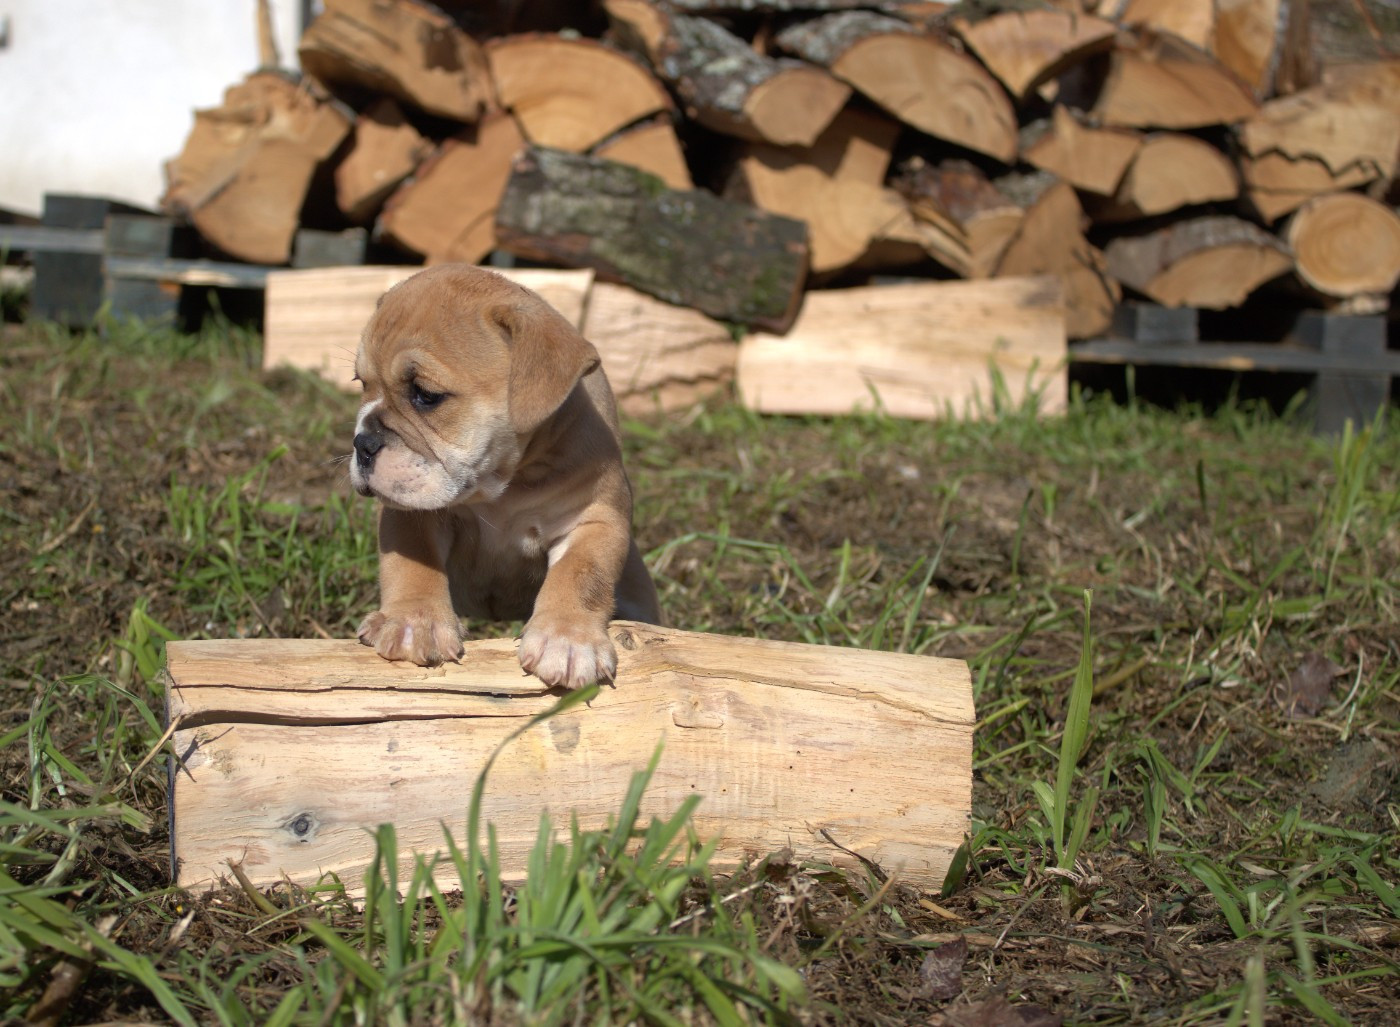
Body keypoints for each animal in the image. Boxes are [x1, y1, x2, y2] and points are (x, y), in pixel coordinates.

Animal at [349, 264, 661, 690]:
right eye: (361, 383)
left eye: (425, 395)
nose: (362, 444)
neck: (503, 485)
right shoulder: (410, 510)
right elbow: (412, 563)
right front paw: (414, 622)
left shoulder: (593, 520)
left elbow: (581, 573)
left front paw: (567, 639)